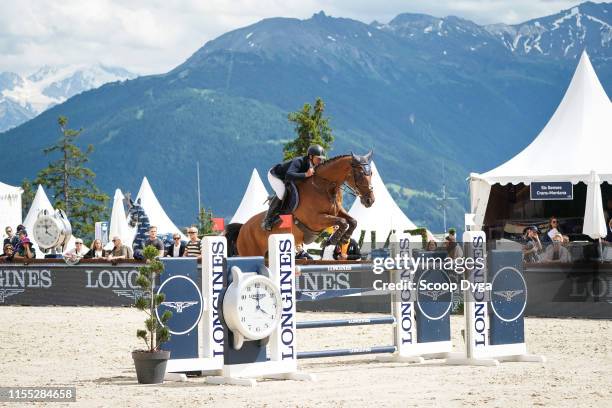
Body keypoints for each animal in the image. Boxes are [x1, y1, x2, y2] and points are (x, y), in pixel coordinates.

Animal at [227, 151, 376, 256]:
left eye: (371, 173)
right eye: (361, 173)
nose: (370, 200)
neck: (325, 186)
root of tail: (243, 228)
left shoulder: (337, 211)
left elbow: (352, 221)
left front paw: (344, 239)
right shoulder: (315, 219)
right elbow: (342, 222)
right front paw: (332, 240)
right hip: (251, 253)